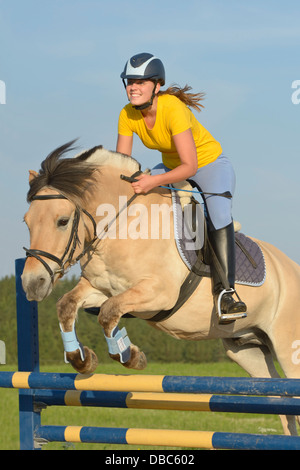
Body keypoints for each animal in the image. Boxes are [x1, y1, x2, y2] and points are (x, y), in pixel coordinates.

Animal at [22, 141, 300, 436]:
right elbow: (68, 306)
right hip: (247, 350)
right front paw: (82, 360)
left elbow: (108, 313)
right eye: (26, 221)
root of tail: (291, 268)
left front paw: (131, 356)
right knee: (281, 401)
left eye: (62, 221)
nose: (32, 283)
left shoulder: (158, 294)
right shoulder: (100, 288)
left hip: (288, 348)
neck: (122, 225)